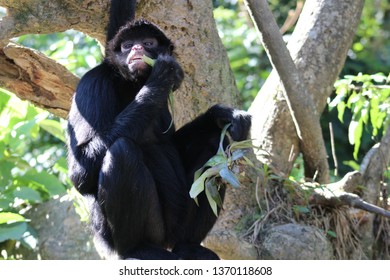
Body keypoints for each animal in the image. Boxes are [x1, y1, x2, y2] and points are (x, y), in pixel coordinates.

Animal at [66, 0, 250, 260]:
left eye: (148, 43)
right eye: (128, 45)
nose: (136, 49)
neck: (130, 83)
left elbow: (175, 142)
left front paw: (223, 114)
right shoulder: (92, 84)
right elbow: (80, 173)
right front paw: (162, 75)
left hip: (180, 223)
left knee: (215, 145)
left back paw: (188, 246)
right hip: (141, 231)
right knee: (122, 151)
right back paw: (136, 248)